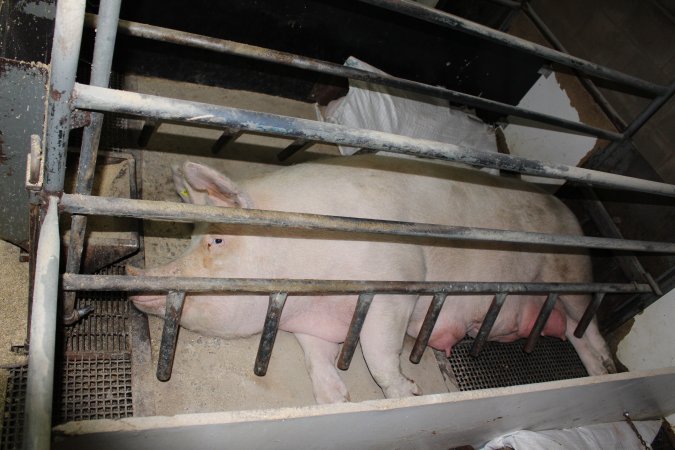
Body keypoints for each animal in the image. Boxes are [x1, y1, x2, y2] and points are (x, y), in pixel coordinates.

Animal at [128, 155, 616, 404]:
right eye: (190, 239)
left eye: (216, 240)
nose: (135, 283)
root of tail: (566, 210)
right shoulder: (313, 323)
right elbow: (316, 360)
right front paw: (336, 400)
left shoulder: (397, 281)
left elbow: (378, 351)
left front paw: (409, 392)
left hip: (572, 273)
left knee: (588, 329)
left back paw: (606, 372)